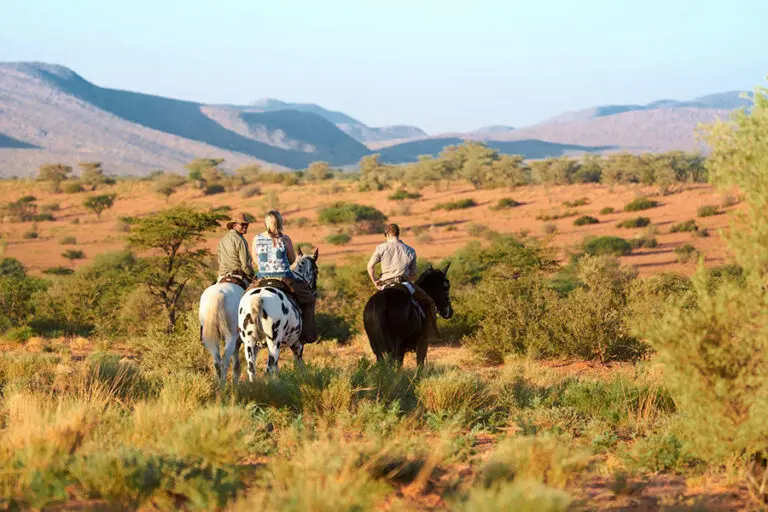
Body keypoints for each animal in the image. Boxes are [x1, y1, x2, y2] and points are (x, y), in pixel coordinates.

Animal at [238, 247, 319, 379]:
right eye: (317, 271)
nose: (314, 291)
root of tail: (258, 299)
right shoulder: (297, 344)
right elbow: (298, 363)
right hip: (273, 343)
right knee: (269, 369)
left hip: (249, 343)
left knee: (252, 369)